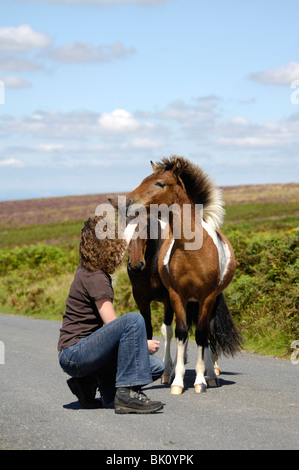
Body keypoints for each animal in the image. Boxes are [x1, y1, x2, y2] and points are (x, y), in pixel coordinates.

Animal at [126, 156, 241, 394]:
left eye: (160, 183)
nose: (129, 203)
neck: (192, 250)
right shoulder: (176, 296)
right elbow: (180, 332)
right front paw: (177, 381)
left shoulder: (206, 297)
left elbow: (201, 335)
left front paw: (200, 381)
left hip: (209, 302)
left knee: (207, 333)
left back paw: (211, 374)